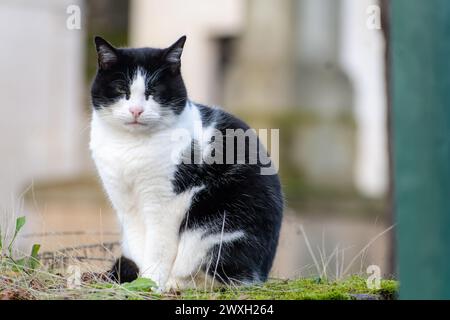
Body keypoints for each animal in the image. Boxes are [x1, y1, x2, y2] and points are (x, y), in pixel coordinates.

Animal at [89, 35, 284, 290]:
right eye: (122, 89)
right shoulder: (125, 205)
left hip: (218, 229)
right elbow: (139, 244)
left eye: (154, 91)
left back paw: (174, 284)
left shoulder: (165, 204)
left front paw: (152, 284)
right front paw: (140, 283)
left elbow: (158, 249)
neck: (130, 146)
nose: (136, 110)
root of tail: (262, 273)